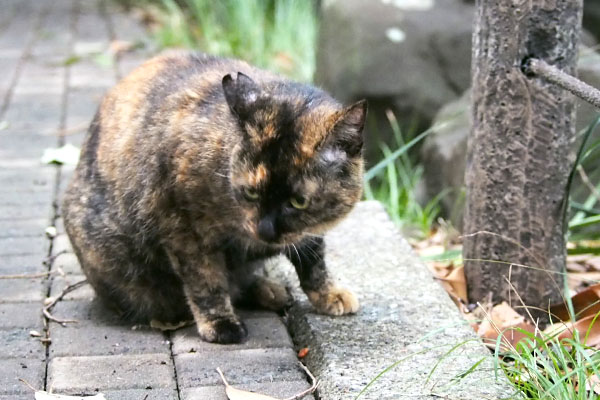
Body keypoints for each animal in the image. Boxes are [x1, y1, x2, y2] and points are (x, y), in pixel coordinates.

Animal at [63, 50, 368, 344]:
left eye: (298, 202)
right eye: (251, 192)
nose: (266, 230)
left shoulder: (308, 230)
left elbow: (313, 258)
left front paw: (328, 293)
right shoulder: (182, 227)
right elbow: (206, 279)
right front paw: (220, 323)